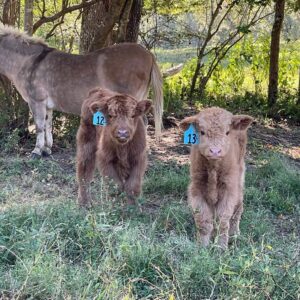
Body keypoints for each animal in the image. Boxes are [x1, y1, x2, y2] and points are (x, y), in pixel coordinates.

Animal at [180, 107, 253, 248]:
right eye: (202, 132)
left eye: (227, 132)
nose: (215, 151)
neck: (213, 170)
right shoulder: (196, 189)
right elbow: (203, 222)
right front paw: (202, 246)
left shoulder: (229, 190)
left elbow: (222, 222)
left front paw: (221, 247)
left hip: (240, 177)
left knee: (238, 207)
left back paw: (234, 234)